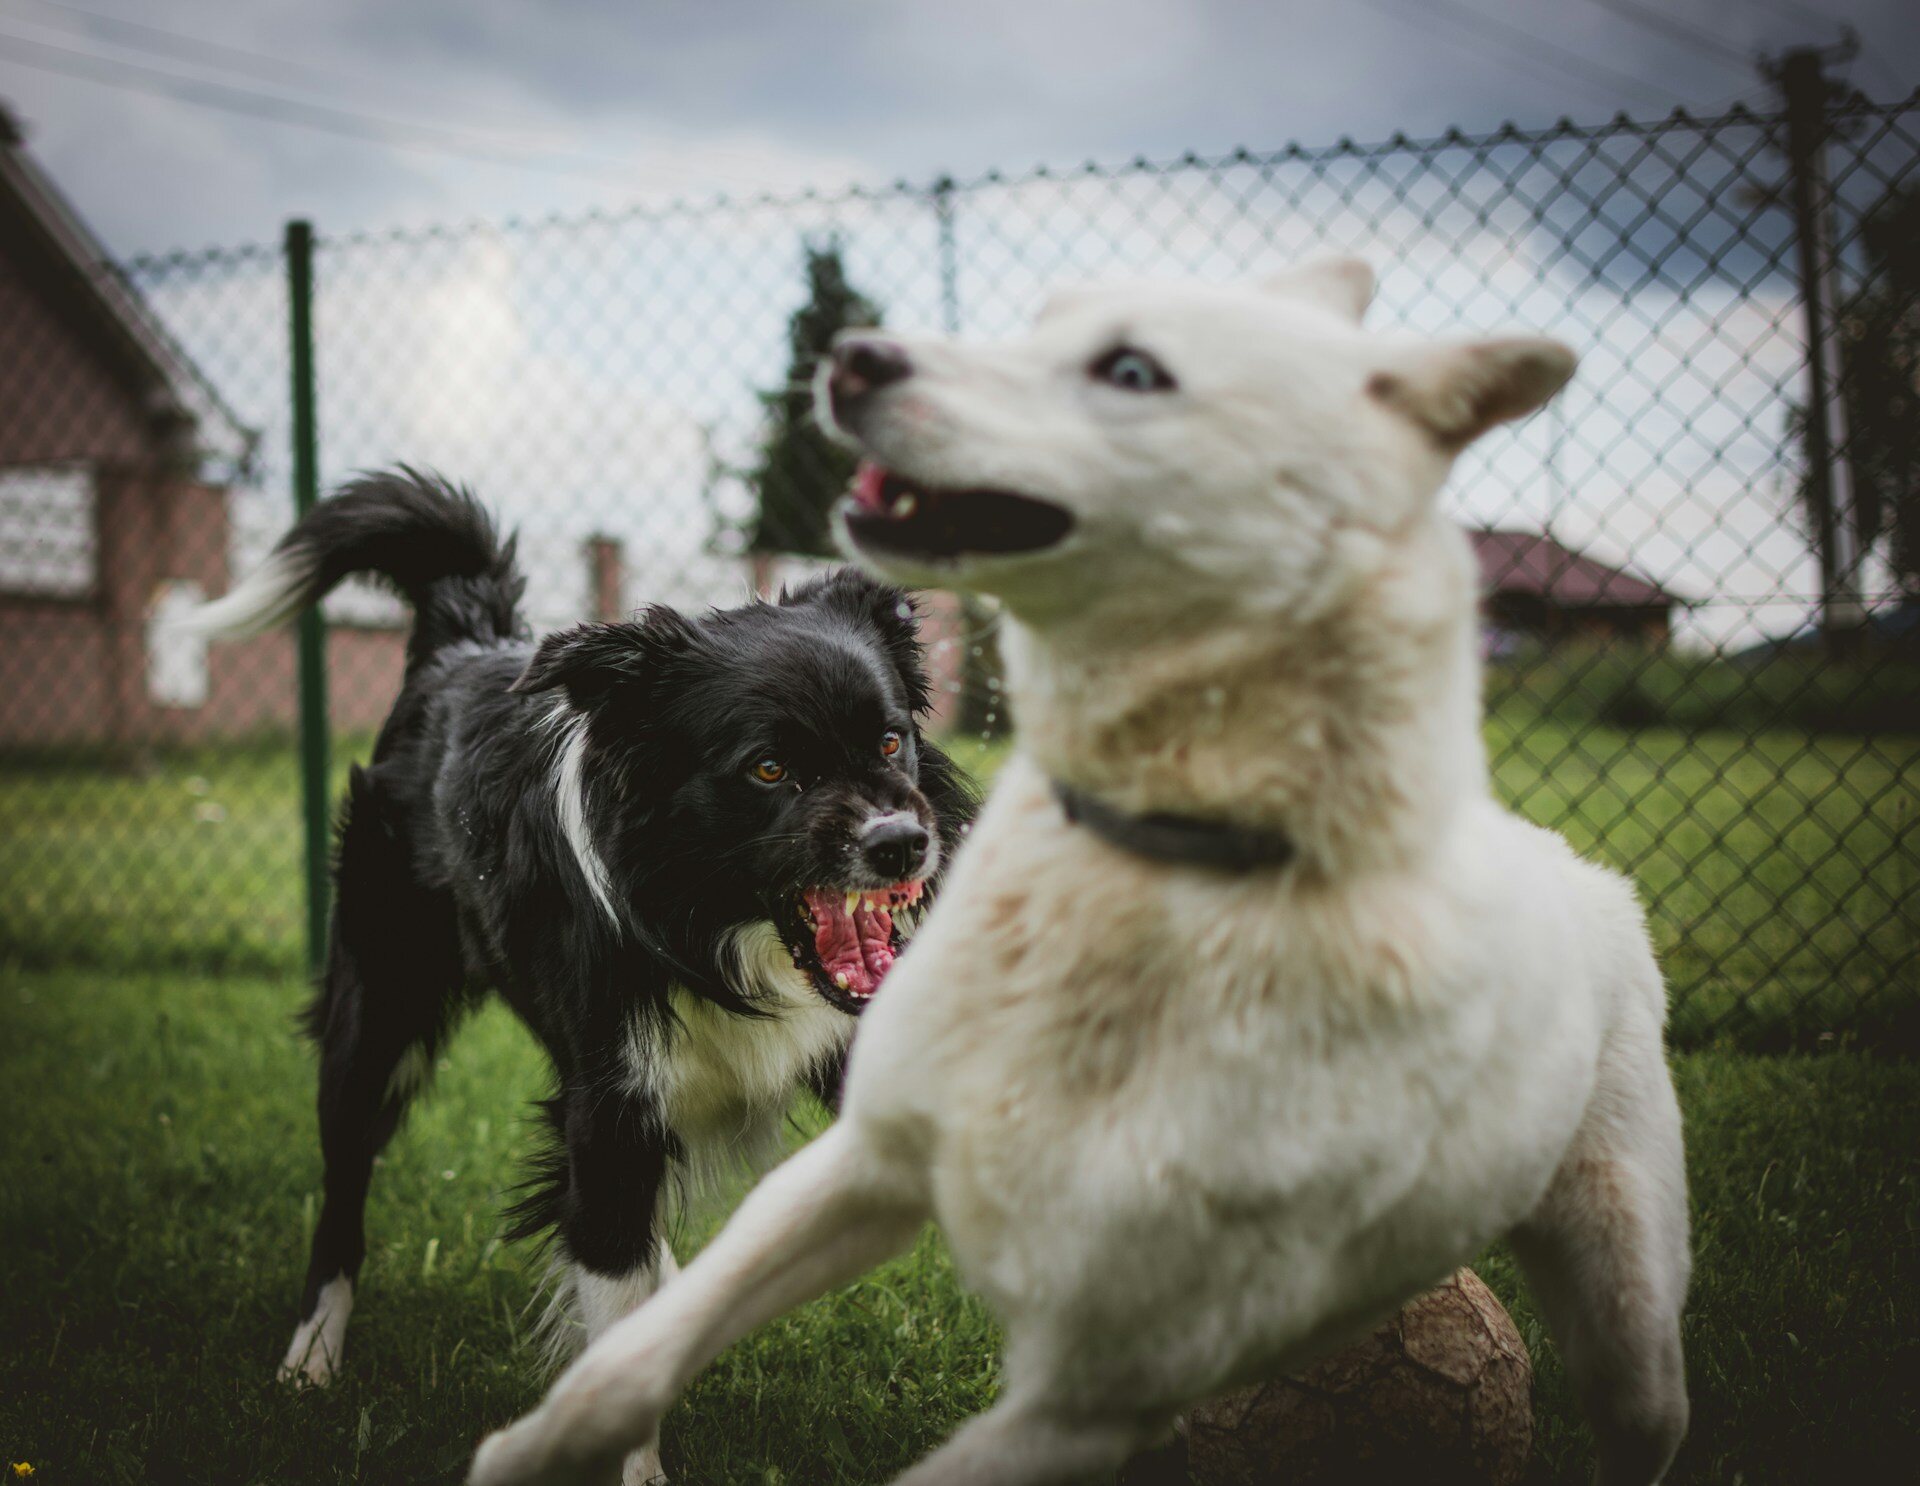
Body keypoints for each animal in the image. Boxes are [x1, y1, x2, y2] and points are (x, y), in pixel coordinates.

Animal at [185, 474, 967, 1474]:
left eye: (890, 742)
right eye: (768, 769)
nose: (904, 843)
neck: (714, 931)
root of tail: (465, 642)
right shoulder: (609, 1115)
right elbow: (612, 1301)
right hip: (375, 1017)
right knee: (343, 1197)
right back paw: (310, 1361)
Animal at [472, 266, 1689, 1486]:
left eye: (889, 743)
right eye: (767, 768)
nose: (902, 845)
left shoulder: (1110, 1366)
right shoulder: (786, 1145)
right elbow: (633, 1331)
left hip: (1624, 1283)